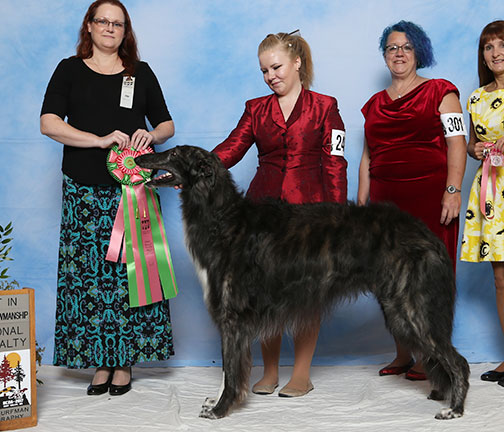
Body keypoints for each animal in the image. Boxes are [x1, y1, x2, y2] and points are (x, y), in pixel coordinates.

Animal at [137, 145, 468, 418]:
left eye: (175, 153)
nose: (141, 158)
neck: (224, 218)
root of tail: (427, 234)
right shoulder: (231, 319)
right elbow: (226, 370)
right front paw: (216, 401)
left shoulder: (232, 316)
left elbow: (230, 370)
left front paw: (221, 409)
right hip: (401, 308)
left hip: (411, 310)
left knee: (458, 362)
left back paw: (454, 409)